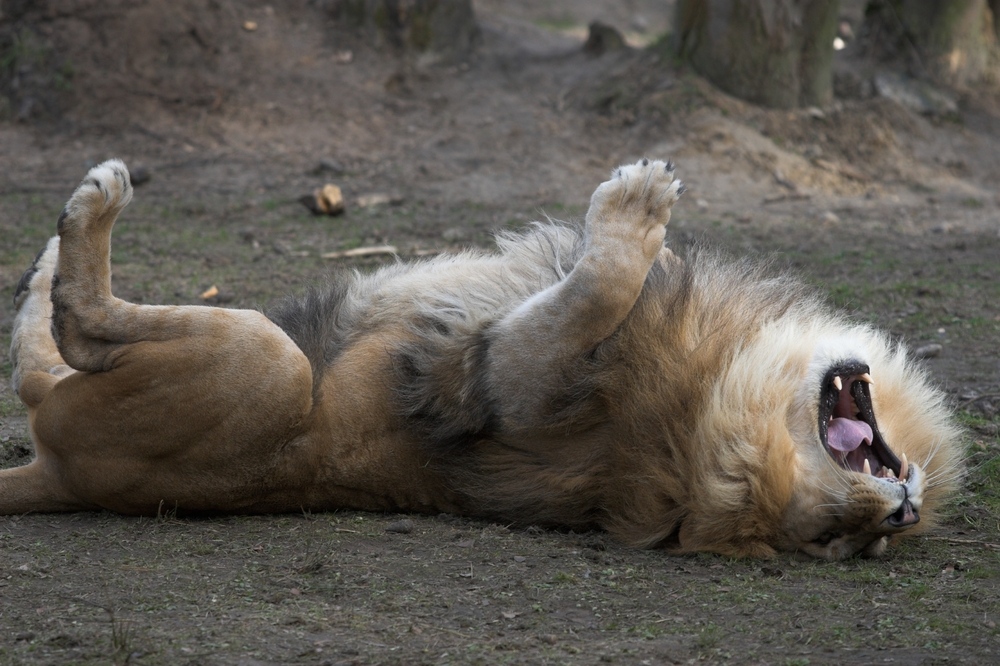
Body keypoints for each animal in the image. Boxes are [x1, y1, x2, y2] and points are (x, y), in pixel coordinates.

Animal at [5, 158, 960, 556]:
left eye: (843, 537)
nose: (901, 510)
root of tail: (56, 473)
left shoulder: (496, 380)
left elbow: (597, 286)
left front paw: (635, 212)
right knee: (32, 358)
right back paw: (48, 250)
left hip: (269, 363)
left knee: (77, 331)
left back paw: (89, 214)